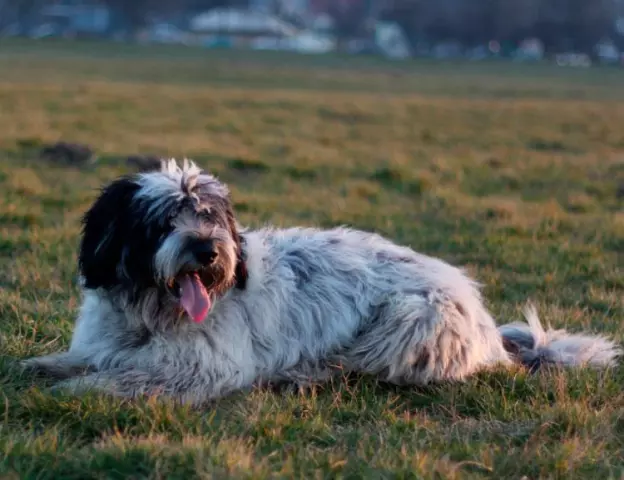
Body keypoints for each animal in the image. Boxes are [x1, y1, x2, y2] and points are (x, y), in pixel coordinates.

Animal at [22, 159, 620, 404]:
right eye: (165, 220)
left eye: (209, 215)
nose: (208, 250)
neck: (148, 316)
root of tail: (491, 329)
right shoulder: (106, 342)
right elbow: (82, 360)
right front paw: (45, 366)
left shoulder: (201, 367)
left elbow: (125, 378)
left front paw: (77, 390)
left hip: (406, 321)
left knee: (362, 368)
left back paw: (301, 376)